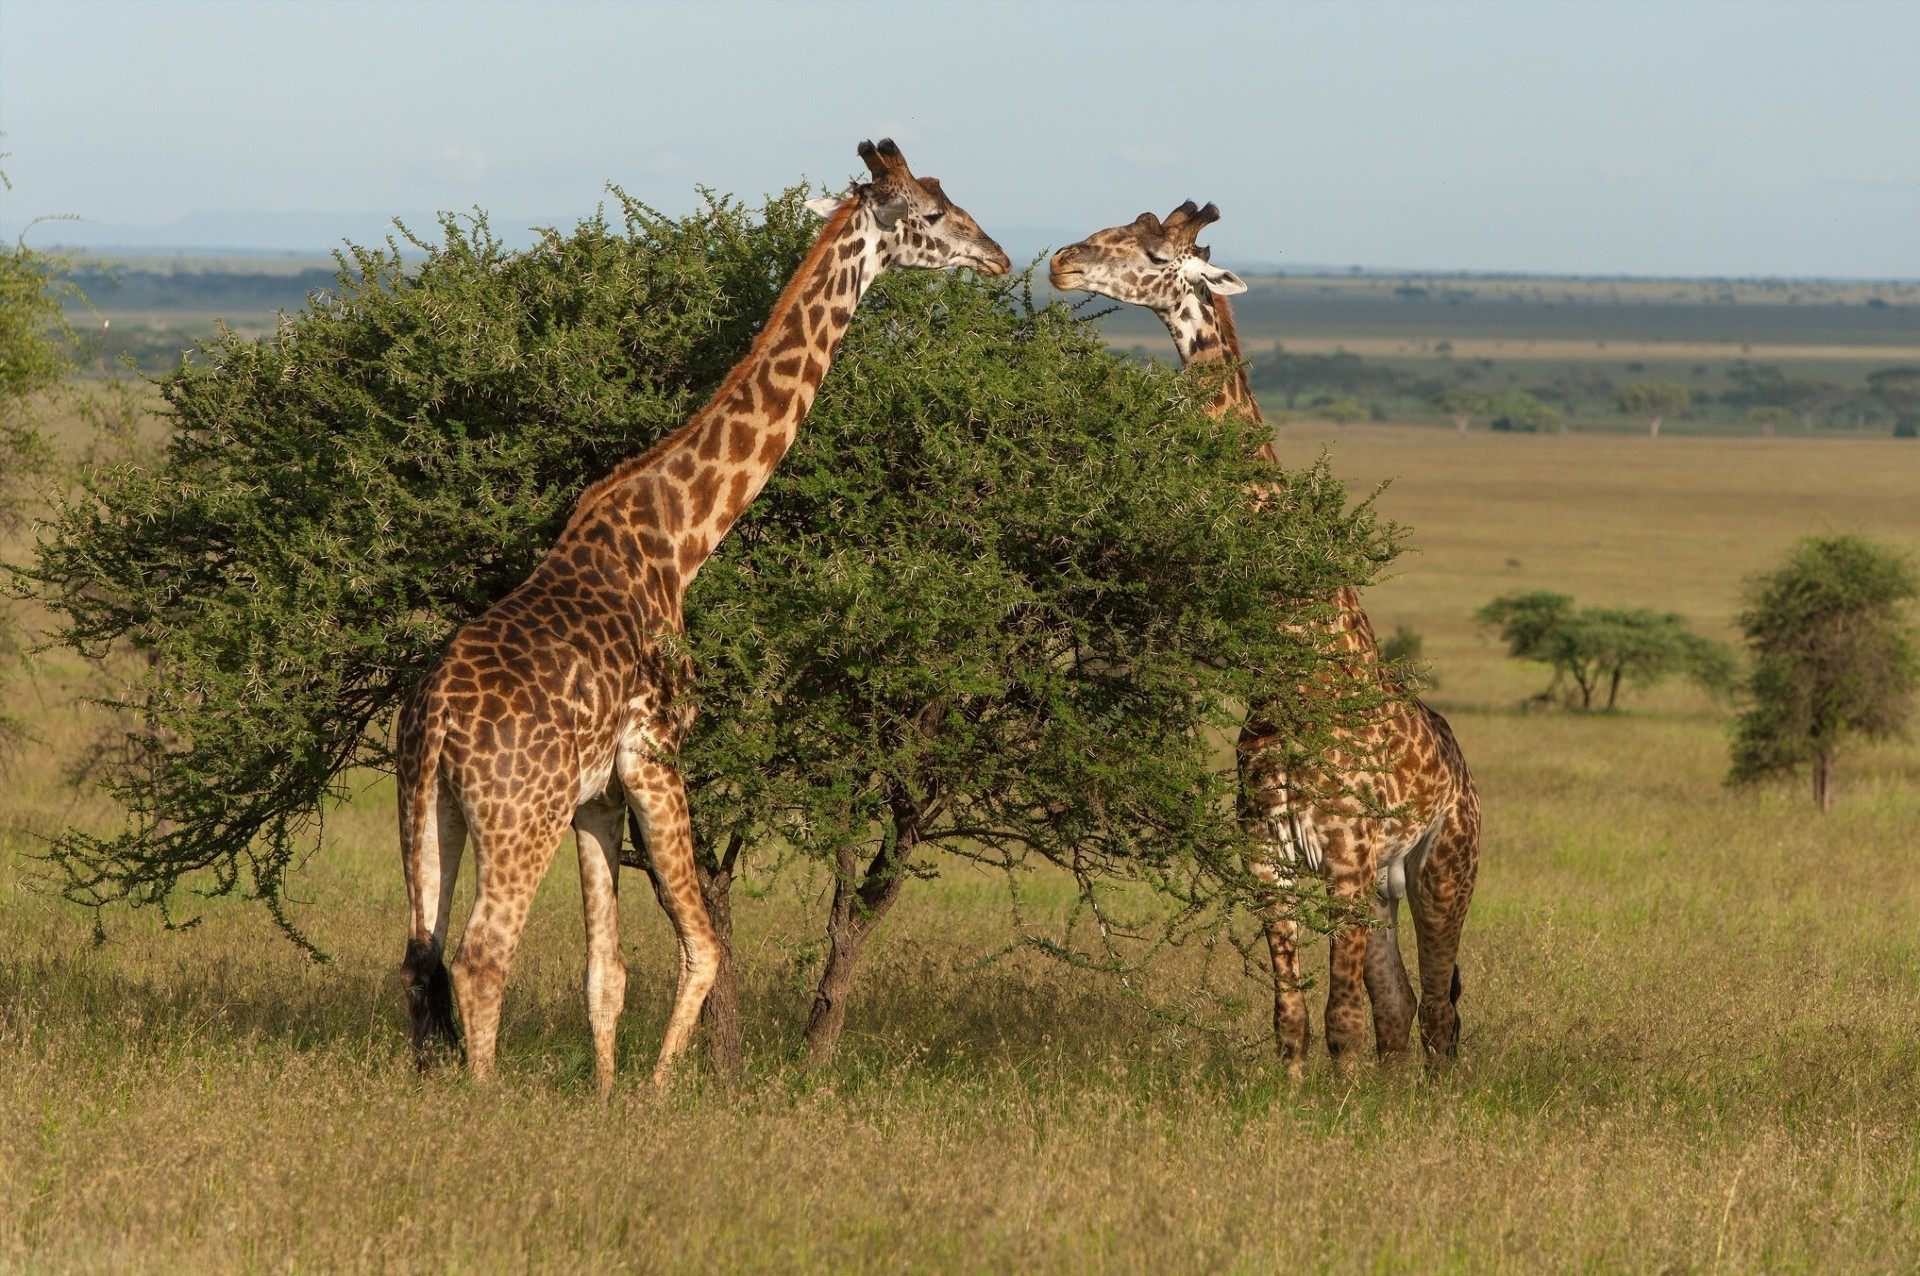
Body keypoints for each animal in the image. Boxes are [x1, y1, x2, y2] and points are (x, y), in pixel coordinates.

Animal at [397, 141, 1013, 1097]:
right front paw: (654, 1093)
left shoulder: (598, 795)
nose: (999, 257)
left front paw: (607, 1096)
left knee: (421, 956)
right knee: (481, 956)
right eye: (934, 215)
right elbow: (704, 948)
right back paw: (483, 1100)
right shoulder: (658, 754)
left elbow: (606, 971)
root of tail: (434, 721)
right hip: (518, 814)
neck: (681, 538)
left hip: (429, 811)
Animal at [1052, 201, 1482, 1074]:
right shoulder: (1269, 858)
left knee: (1437, 1016)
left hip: (1445, 869)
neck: (1292, 667)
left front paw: (1335, 1103)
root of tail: (1467, 774)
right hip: (1386, 886)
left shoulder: (1346, 861)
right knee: (1402, 1011)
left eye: (1155, 252)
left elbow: (1340, 1018)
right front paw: (1292, 1096)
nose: (1060, 263)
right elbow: (1292, 1016)